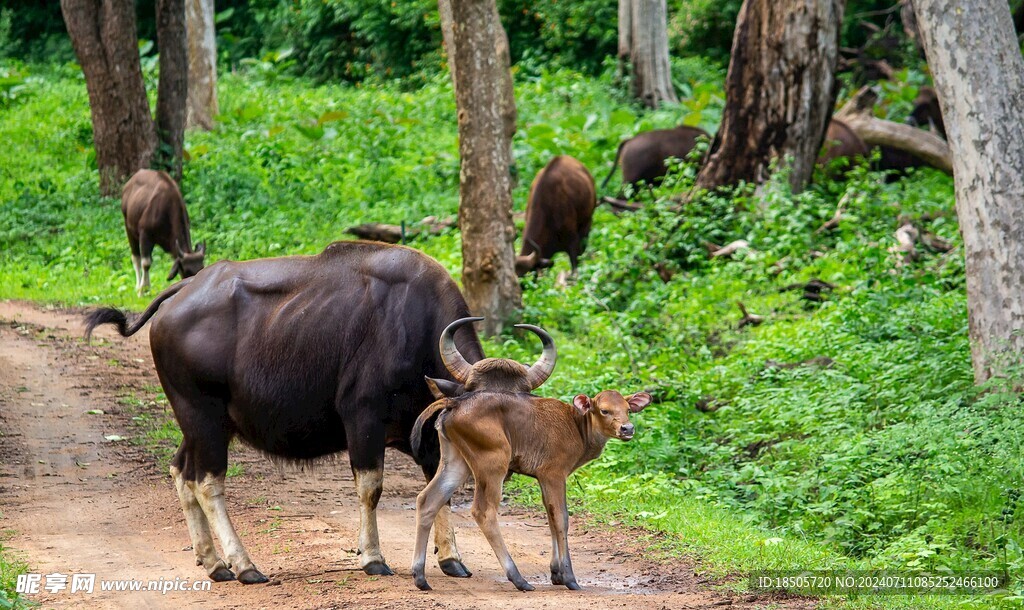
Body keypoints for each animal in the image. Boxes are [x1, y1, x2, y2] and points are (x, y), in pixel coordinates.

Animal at [81, 242, 489, 585]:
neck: (415, 327)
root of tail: (183, 289)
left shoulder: (430, 437)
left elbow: (440, 490)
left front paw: (451, 559)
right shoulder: (363, 421)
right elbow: (371, 489)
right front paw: (372, 557)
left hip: (199, 424)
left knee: (181, 471)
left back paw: (213, 562)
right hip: (202, 416)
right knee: (207, 482)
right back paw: (244, 566)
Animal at [405, 317, 647, 593]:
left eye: (628, 409)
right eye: (604, 410)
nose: (627, 429)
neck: (576, 424)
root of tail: (455, 402)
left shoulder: (543, 478)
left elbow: (550, 516)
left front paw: (556, 573)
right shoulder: (554, 474)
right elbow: (561, 518)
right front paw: (569, 577)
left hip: (456, 463)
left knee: (427, 500)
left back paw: (420, 576)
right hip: (492, 464)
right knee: (483, 511)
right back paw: (518, 578)